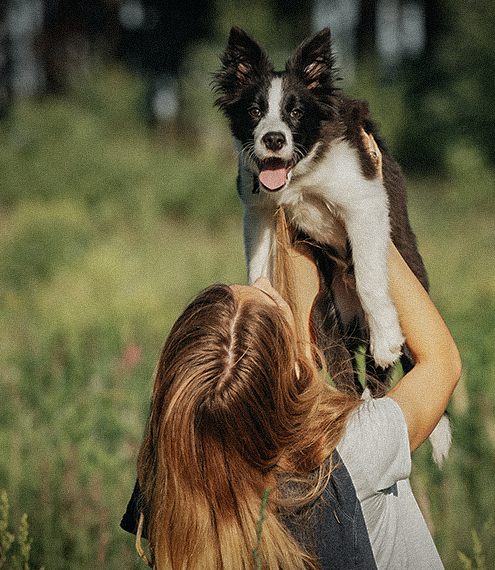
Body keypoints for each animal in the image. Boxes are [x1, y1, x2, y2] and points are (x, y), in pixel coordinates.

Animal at [213, 27, 450, 462]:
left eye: (296, 112)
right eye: (254, 111)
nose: (273, 140)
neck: (303, 174)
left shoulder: (364, 202)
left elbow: (370, 279)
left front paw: (386, 340)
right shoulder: (258, 210)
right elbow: (258, 266)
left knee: (377, 371)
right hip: (324, 318)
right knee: (344, 376)